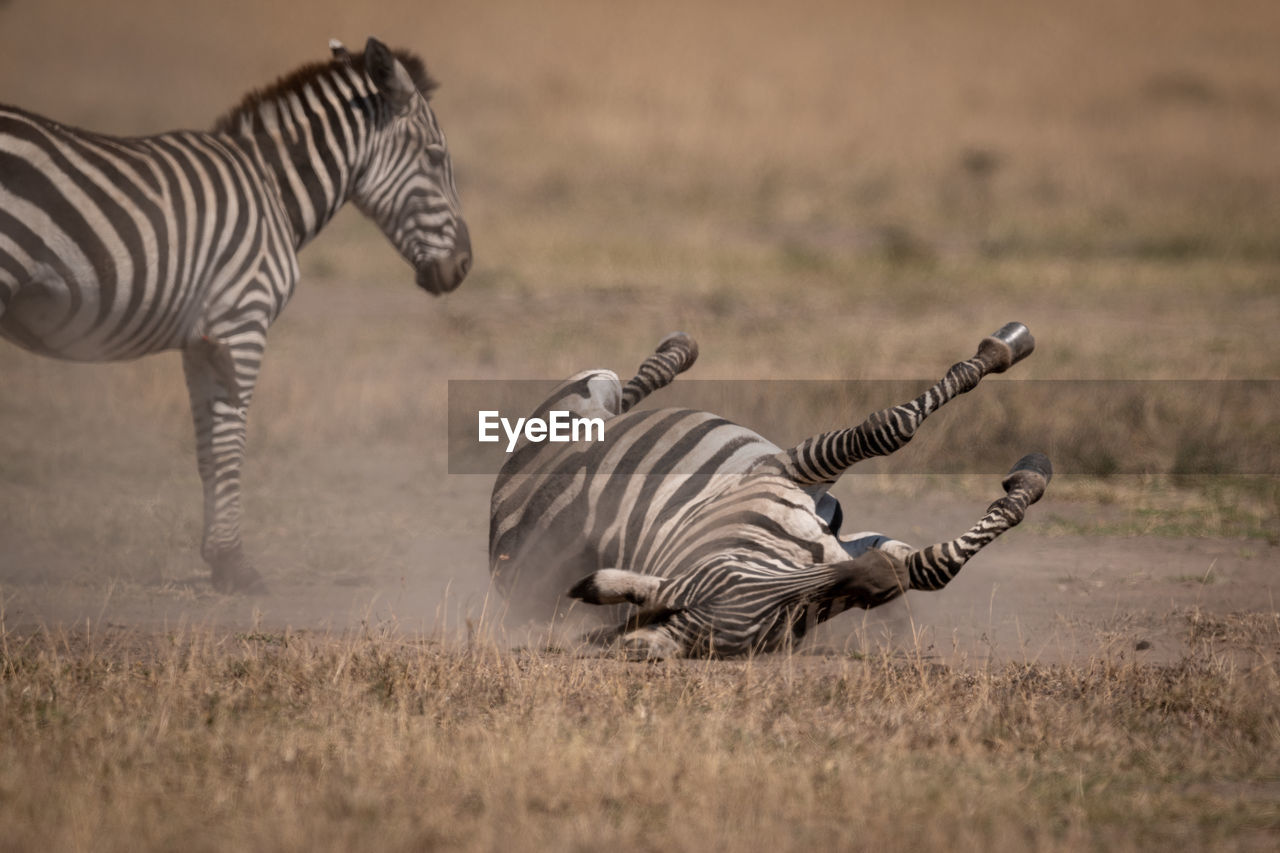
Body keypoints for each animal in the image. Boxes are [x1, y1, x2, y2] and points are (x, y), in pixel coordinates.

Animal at [1, 34, 471, 591]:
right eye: (436, 157)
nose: (464, 266)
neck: (272, 189)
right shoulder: (241, 321)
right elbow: (231, 444)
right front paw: (235, 565)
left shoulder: (201, 339)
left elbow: (207, 448)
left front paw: (216, 557)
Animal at [488, 324, 1049, 655]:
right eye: (789, 617)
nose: (877, 577)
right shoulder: (783, 468)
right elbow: (894, 430)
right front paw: (1031, 470)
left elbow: (933, 556)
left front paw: (1006, 353)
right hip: (583, 394)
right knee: (617, 396)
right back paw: (672, 354)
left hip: (597, 396)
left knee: (624, 395)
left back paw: (676, 351)